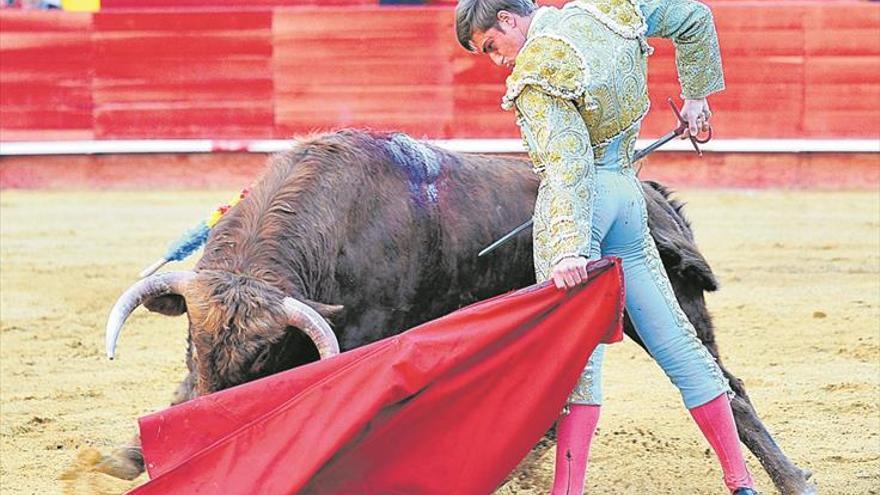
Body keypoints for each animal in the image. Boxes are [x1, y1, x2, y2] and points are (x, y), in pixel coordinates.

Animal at [99, 130, 816, 494]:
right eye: (193, 342)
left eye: (265, 355)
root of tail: (652, 192)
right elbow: (181, 392)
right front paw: (132, 455)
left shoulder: (369, 332)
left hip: (667, 301)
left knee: (725, 387)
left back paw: (791, 479)